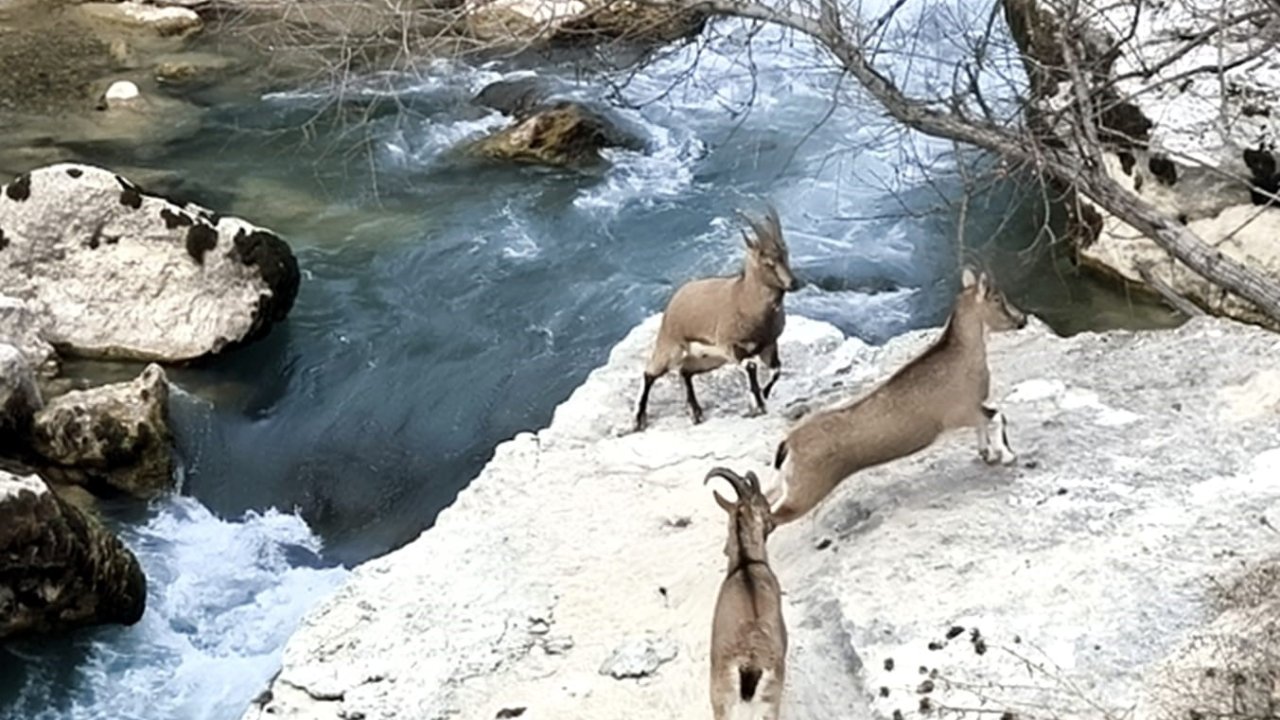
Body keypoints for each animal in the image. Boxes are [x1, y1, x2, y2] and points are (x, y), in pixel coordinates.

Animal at [632, 207, 793, 430]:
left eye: (786, 255)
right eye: (767, 262)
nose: (794, 283)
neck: (745, 300)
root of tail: (675, 299)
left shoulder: (769, 344)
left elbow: (776, 369)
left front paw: (763, 396)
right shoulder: (730, 346)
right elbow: (751, 366)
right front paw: (758, 405)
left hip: (708, 358)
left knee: (685, 371)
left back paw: (695, 411)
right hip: (671, 346)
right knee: (650, 373)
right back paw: (639, 418)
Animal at [762, 266, 1024, 525]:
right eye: (997, 299)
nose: (1022, 319)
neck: (962, 354)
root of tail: (788, 444)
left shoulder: (973, 407)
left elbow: (984, 424)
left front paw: (987, 453)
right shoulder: (961, 411)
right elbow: (997, 416)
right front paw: (1007, 455)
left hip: (783, 483)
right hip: (805, 491)